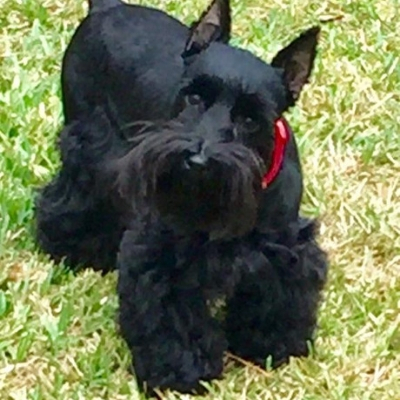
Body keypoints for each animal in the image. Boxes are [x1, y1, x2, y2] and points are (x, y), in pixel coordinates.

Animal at [34, 0, 328, 396]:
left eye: (251, 119)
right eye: (194, 96)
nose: (197, 160)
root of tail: (108, 7)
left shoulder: (284, 245)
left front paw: (270, 343)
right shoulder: (162, 252)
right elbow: (169, 312)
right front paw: (179, 369)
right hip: (87, 146)